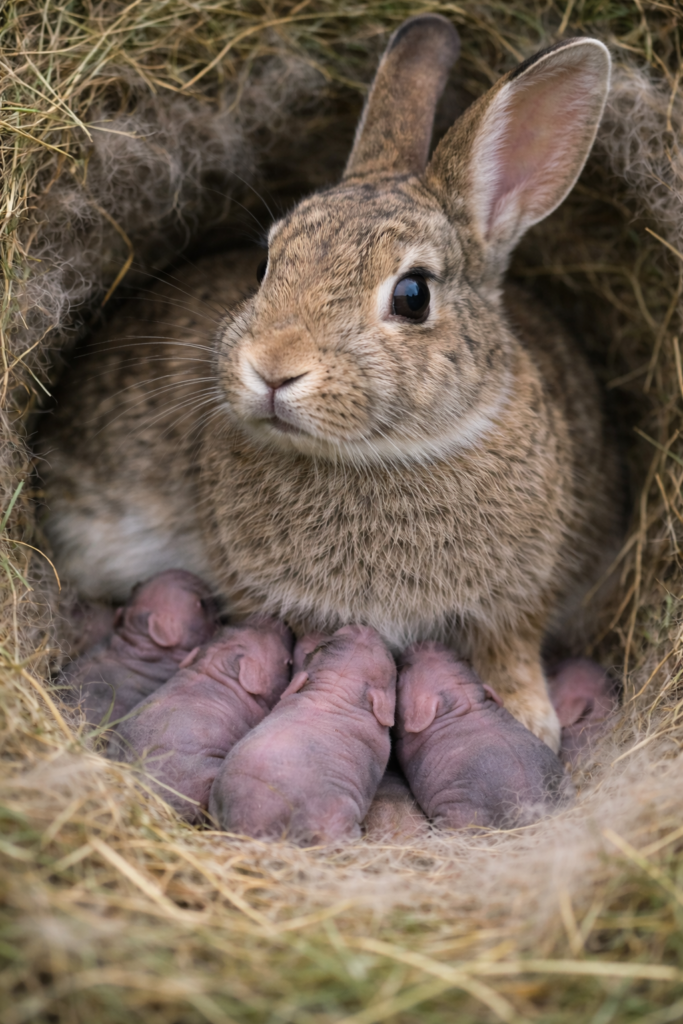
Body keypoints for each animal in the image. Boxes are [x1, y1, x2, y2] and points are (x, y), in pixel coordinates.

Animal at [39, 15, 623, 751]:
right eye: (266, 264)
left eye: (412, 296)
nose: (271, 367)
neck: (379, 457)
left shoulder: (517, 600)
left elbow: (510, 650)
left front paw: (532, 723)